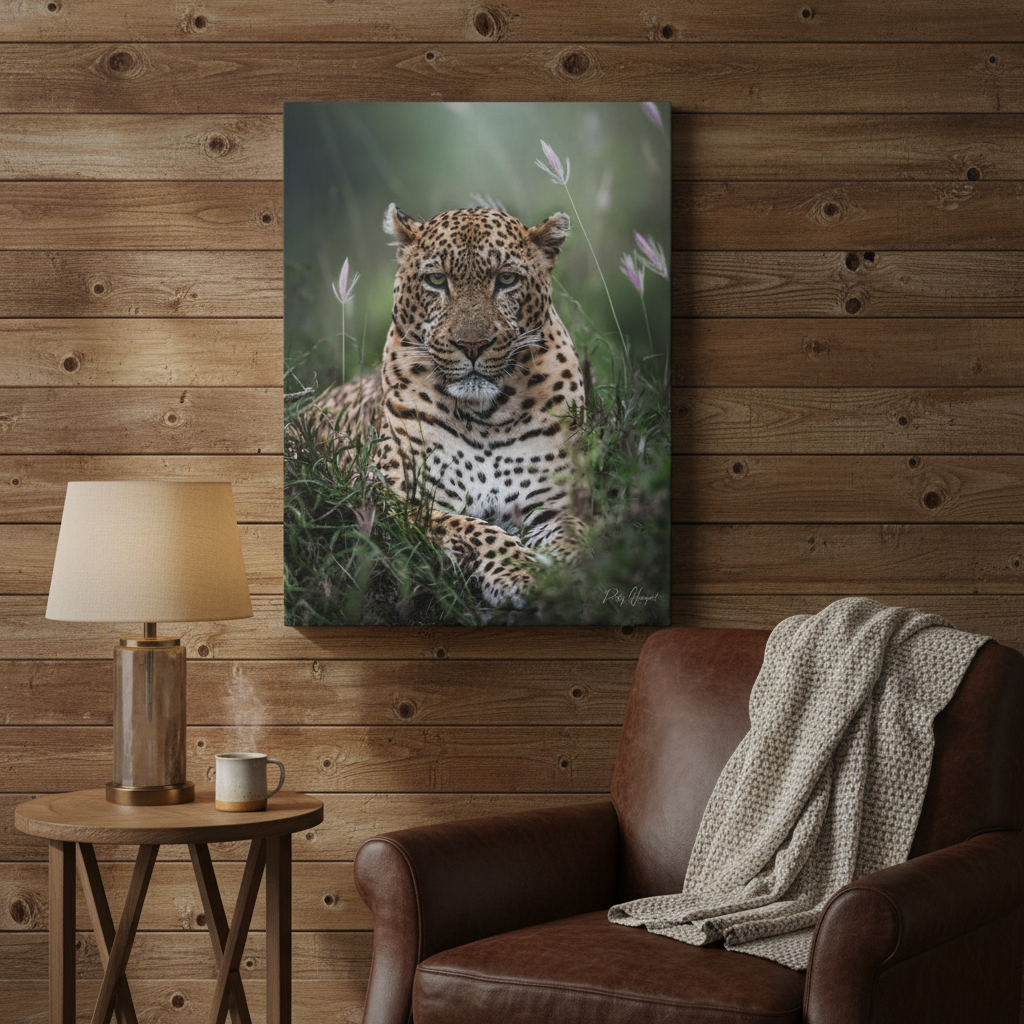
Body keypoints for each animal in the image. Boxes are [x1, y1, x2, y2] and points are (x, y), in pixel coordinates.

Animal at [301, 203, 590, 608]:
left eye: (506, 279)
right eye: (436, 280)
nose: (472, 345)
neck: (486, 417)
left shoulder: (556, 501)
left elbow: (577, 534)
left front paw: (573, 569)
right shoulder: (393, 498)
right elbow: (473, 530)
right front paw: (522, 573)